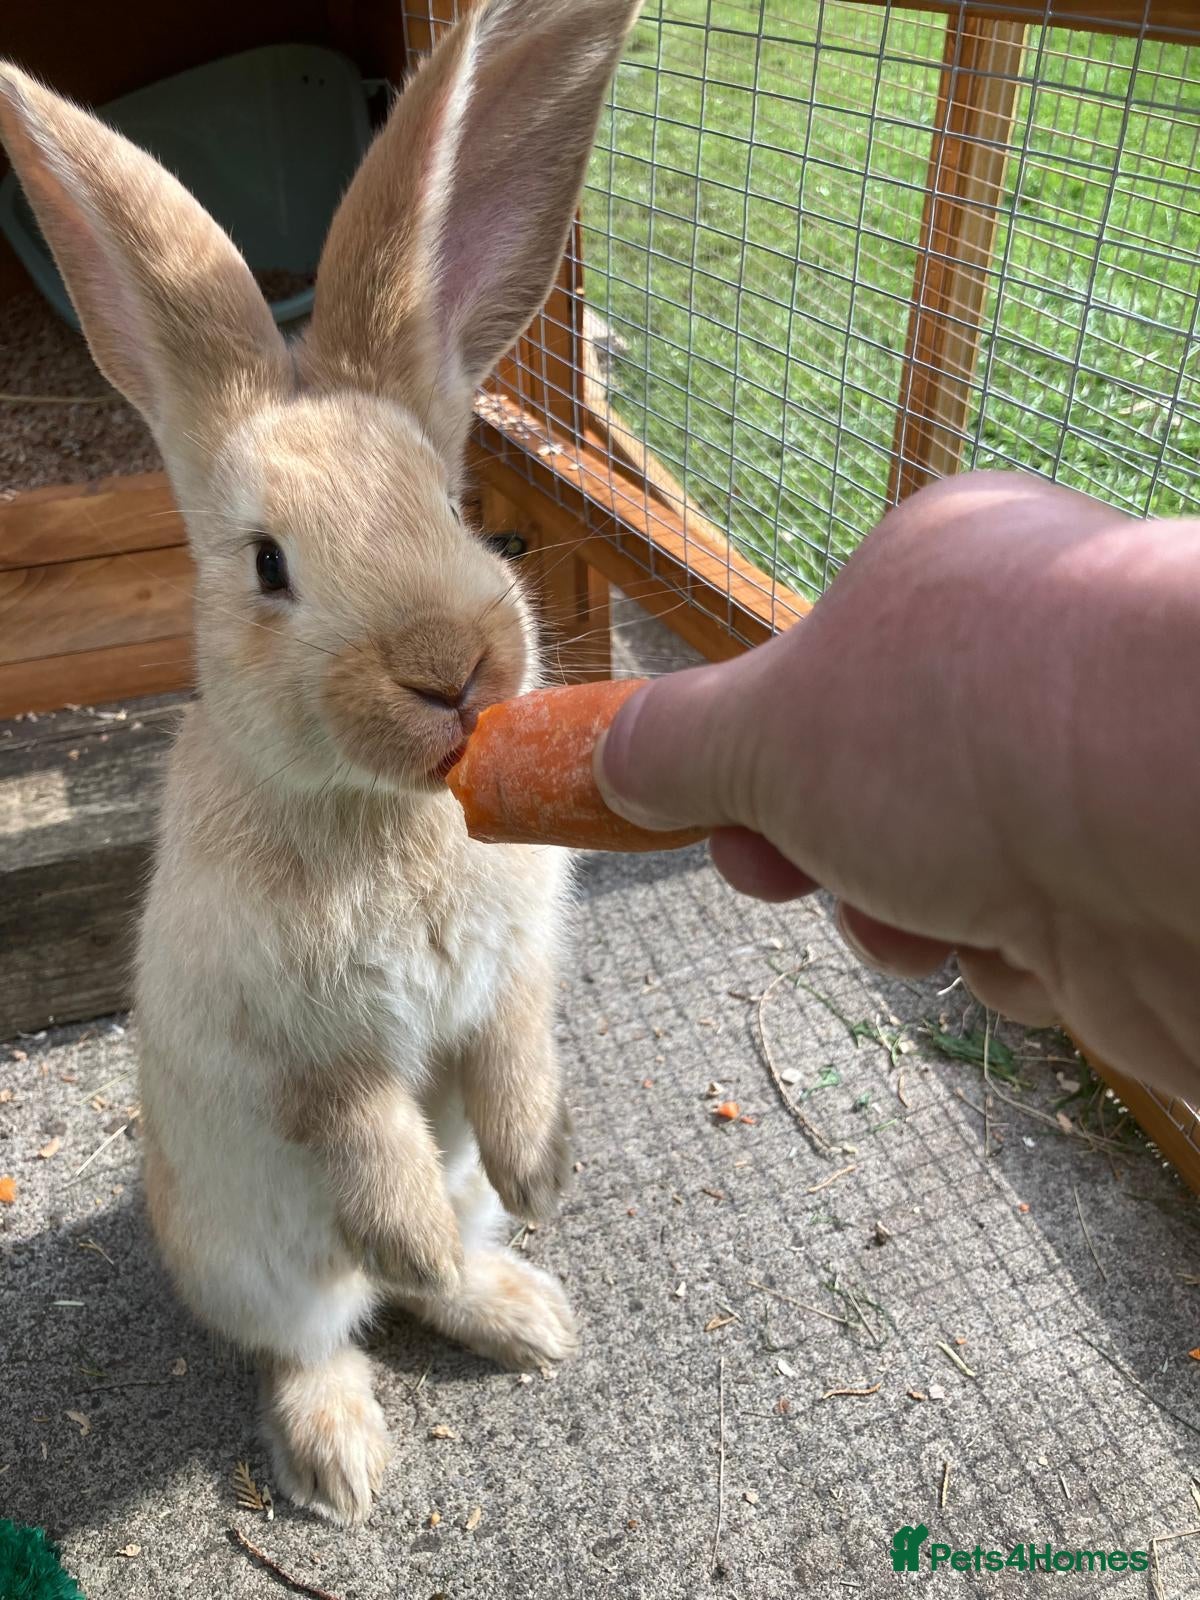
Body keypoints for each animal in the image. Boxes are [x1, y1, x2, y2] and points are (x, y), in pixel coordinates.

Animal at [0, 0, 641, 1525]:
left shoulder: (517, 969)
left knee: (427, 1284)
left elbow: (513, 1045)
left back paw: (520, 1306)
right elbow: (355, 1125)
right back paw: (345, 1455)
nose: (454, 668)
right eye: (267, 566)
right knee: (320, 1330)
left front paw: (548, 1172)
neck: (385, 810)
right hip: (252, 1257)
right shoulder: (294, 1043)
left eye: (454, 505)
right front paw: (415, 1232)